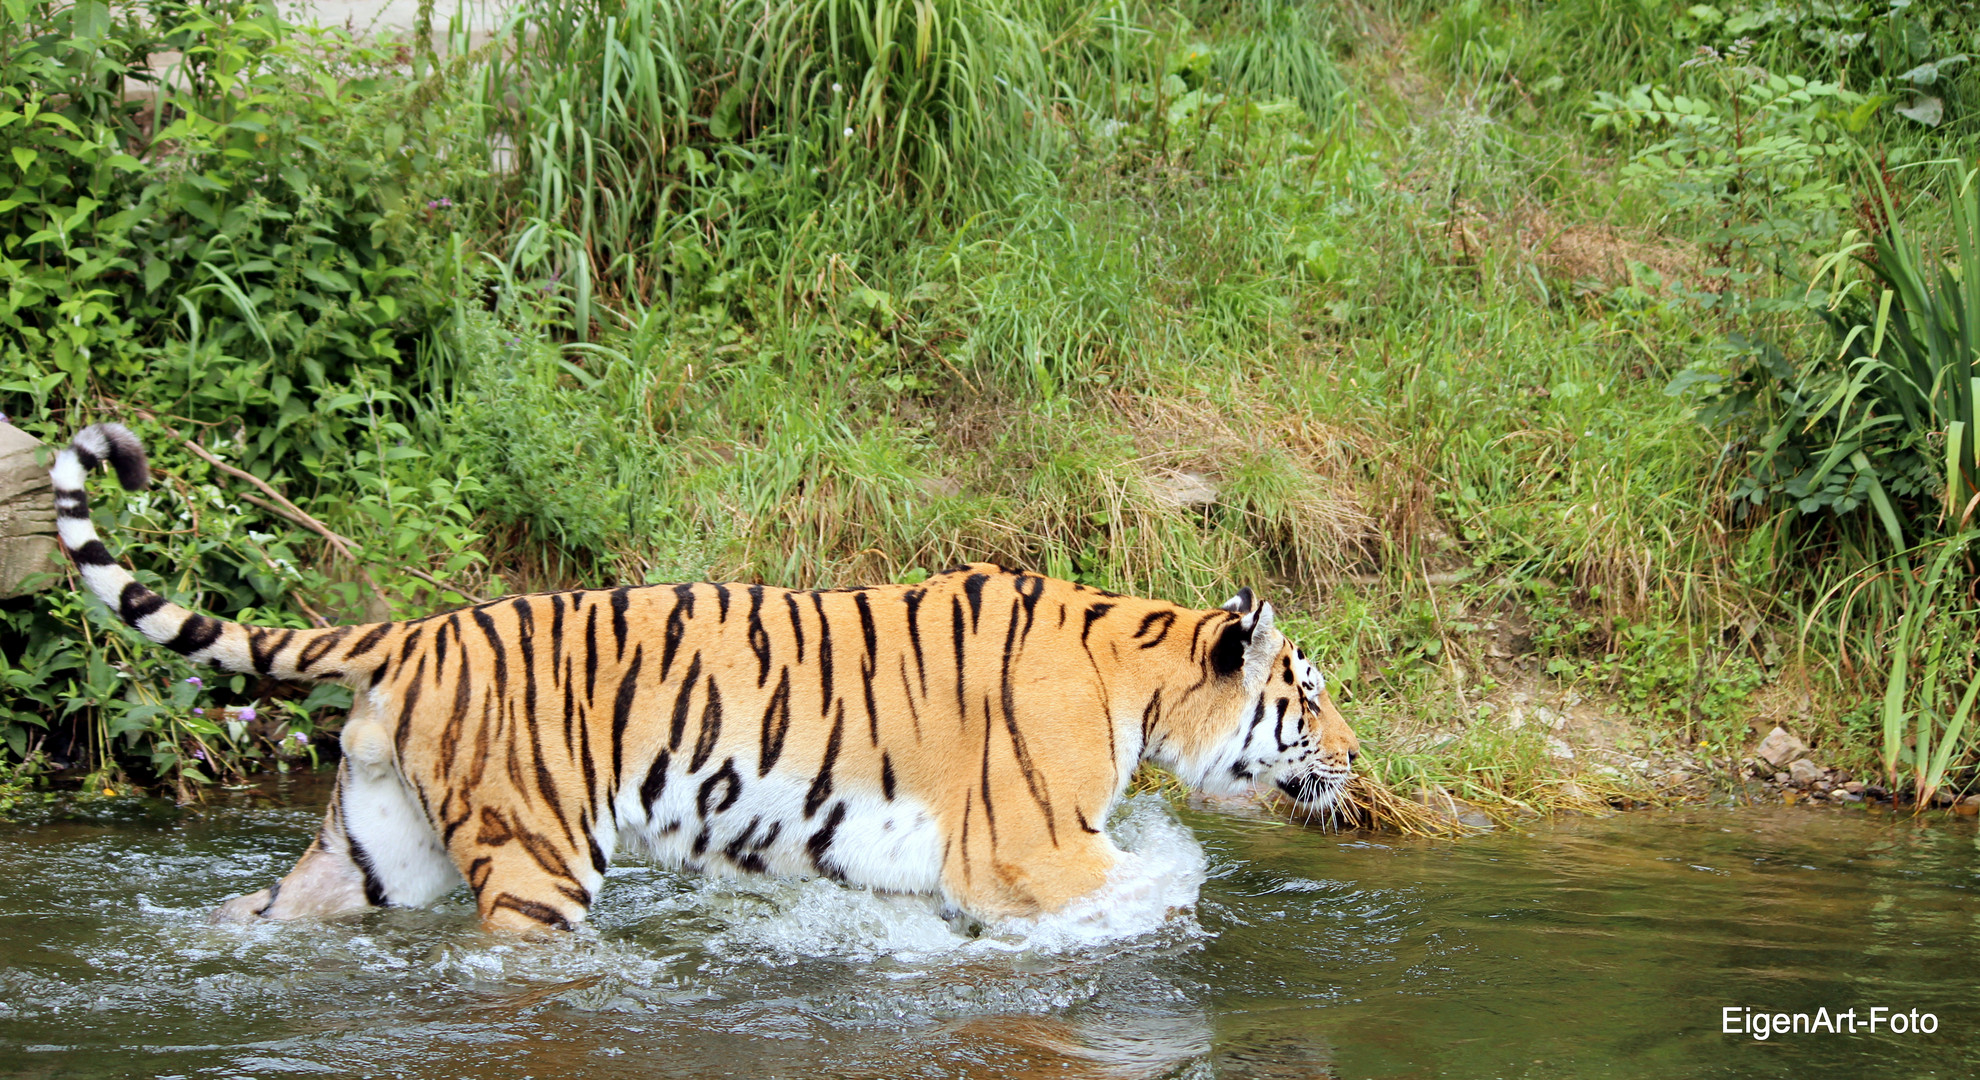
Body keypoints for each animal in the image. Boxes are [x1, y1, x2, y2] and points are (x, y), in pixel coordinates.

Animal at [50, 426, 1362, 931]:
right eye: (1307, 691)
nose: (1359, 758)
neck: (1134, 673)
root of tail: (410, 633)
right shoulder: (1024, 852)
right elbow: (1152, 887)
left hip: (375, 848)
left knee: (272, 909)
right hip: (536, 856)